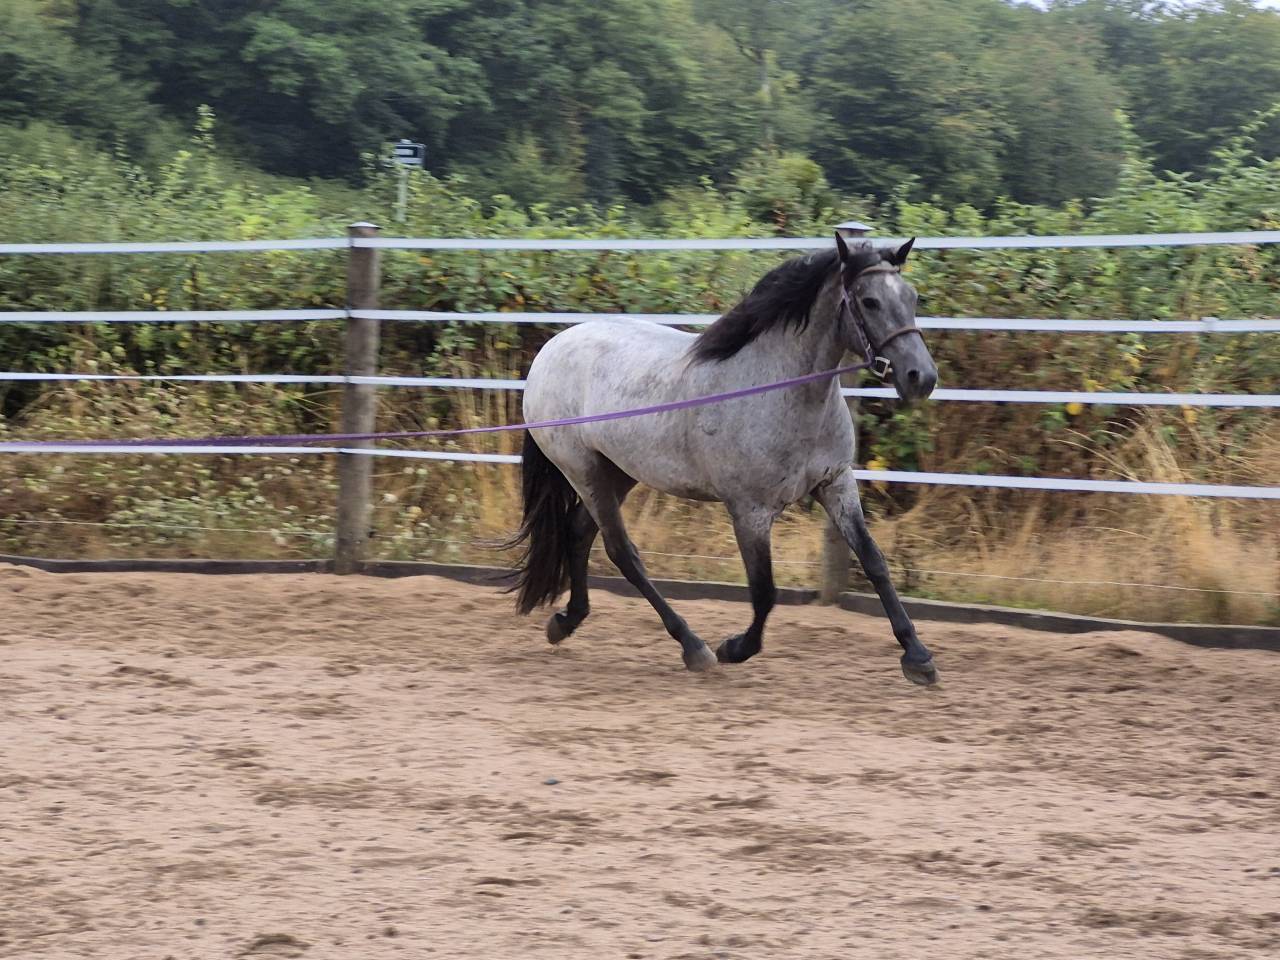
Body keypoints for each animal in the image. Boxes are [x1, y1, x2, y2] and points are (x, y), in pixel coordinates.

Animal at [508, 233, 939, 685]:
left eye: (912, 297)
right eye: (869, 301)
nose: (921, 378)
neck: (779, 390)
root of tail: (550, 351)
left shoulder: (835, 482)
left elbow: (874, 562)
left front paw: (918, 657)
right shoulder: (750, 510)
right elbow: (765, 591)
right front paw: (734, 648)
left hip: (617, 472)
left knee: (578, 533)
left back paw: (566, 621)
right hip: (583, 469)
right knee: (621, 551)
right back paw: (693, 646)